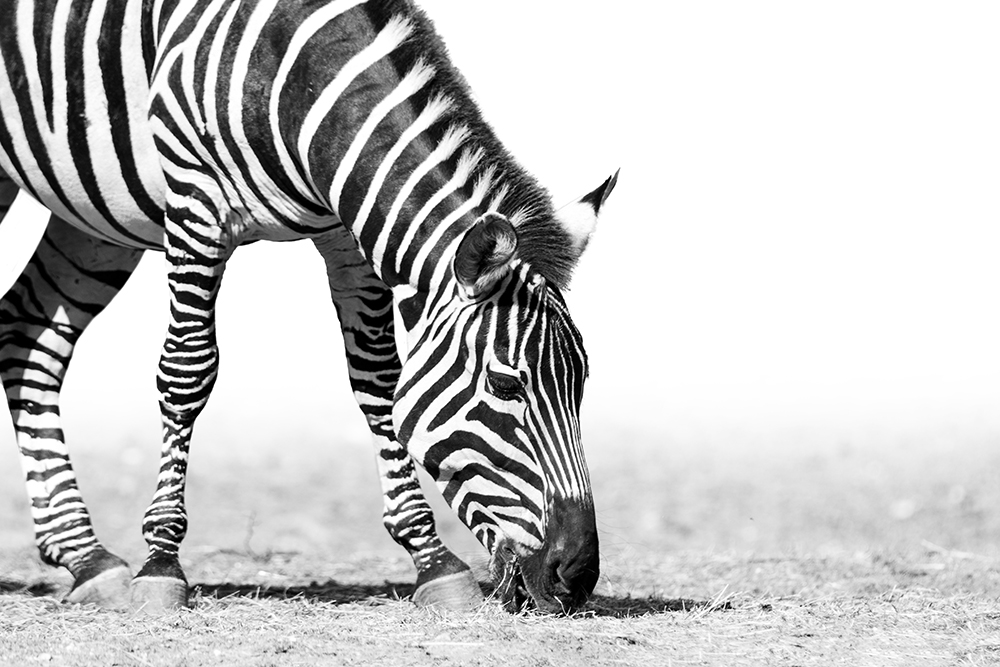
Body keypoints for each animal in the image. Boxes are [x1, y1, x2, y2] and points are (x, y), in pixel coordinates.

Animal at [0, 0, 616, 616]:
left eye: (583, 381)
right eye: (505, 385)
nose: (577, 577)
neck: (293, 75)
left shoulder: (348, 232)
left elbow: (377, 381)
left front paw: (433, 560)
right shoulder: (196, 207)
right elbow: (187, 371)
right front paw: (161, 565)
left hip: (94, 217)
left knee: (27, 336)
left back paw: (86, 558)